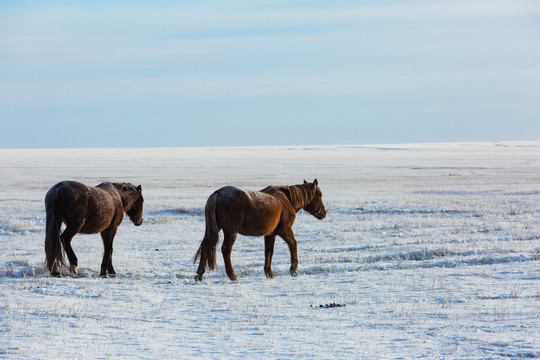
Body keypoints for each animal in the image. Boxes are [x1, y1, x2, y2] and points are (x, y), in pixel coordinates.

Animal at [195, 179, 330, 282]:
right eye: (320, 195)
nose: (323, 213)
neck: (286, 199)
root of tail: (217, 193)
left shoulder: (270, 234)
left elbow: (269, 252)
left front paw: (269, 273)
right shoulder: (285, 230)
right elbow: (293, 245)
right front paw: (294, 270)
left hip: (214, 230)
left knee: (206, 246)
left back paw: (199, 275)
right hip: (230, 232)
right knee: (226, 250)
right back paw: (232, 275)